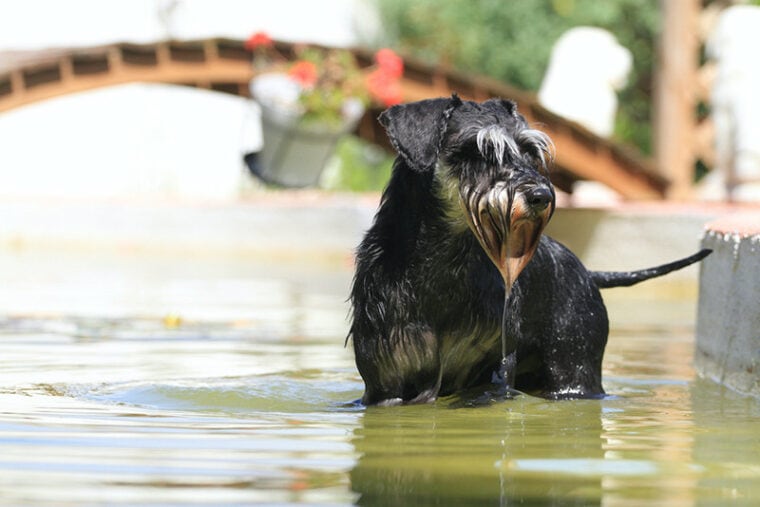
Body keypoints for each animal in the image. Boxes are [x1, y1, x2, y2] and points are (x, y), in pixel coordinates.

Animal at [350, 94, 712, 404]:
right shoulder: (387, 381)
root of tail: (588, 272)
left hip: (573, 369)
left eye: (529, 151)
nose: (541, 196)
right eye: (478, 150)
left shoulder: (491, 369)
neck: (444, 258)